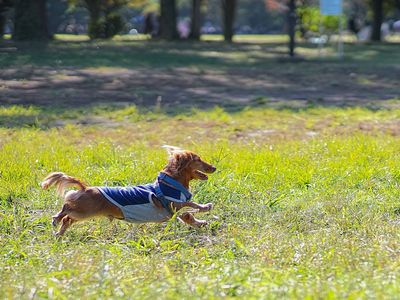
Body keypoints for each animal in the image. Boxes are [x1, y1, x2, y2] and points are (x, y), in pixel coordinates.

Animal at [40, 146, 216, 236]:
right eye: (198, 159)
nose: (214, 167)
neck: (171, 182)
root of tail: (86, 188)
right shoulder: (175, 204)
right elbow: (191, 205)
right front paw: (205, 208)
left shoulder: (173, 211)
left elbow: (188, 215)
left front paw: (200, 221)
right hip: (83, 211)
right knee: (66, 209)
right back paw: (56, 218)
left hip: (81, 213)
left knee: (67, 219)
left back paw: (59, 233)